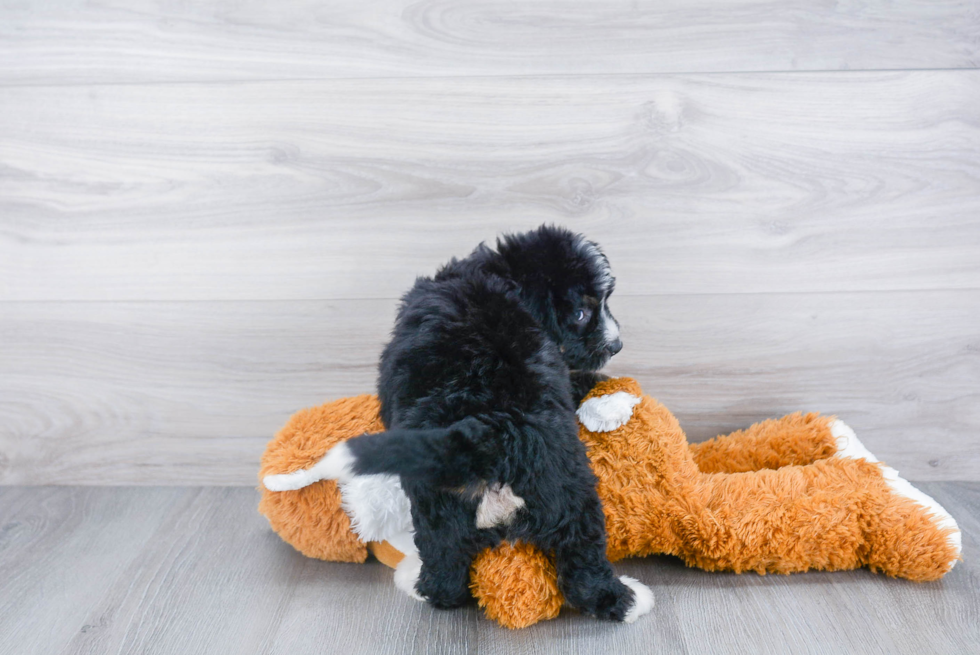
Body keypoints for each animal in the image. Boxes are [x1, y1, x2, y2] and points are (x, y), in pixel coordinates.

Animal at [264, 228, 656, 624]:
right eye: (580, 313)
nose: (617, 345)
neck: (496, 272)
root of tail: (490, 432)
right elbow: (580, 377)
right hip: (557, 491)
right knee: (572, 562)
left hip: (456, 506)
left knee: (451, 571)